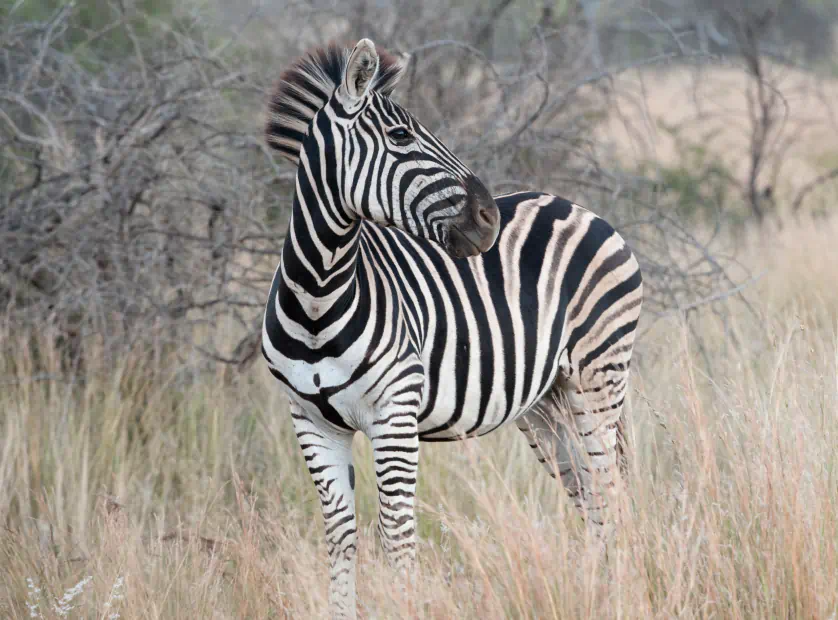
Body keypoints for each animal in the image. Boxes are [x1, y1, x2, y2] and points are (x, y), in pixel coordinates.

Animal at [262, 40, 644, 620]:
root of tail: (577, 206)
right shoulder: (310, 422)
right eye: (401, 137)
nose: (489, 219)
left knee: (609, 491)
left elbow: (397, 534)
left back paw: (616, 593)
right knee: (587, 494)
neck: (317, 295)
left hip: (598, 376)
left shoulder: (393, 413)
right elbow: (342, 534)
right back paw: (593, 592)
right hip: (545, 402)